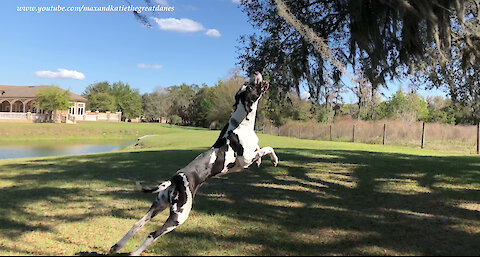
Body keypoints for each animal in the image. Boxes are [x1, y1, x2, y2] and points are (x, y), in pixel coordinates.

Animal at [109, 71, 280, 254]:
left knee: (137, 224)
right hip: (179, 216)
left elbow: (261, 149)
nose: (256, 73)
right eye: (250, 86)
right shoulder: (245, 160)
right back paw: (134, 253)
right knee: (152, 234)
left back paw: (117, 246)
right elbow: (267, 148)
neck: (242, 123)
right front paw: (273, 159)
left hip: (158, 205)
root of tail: (175, 178)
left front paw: (264, 160)